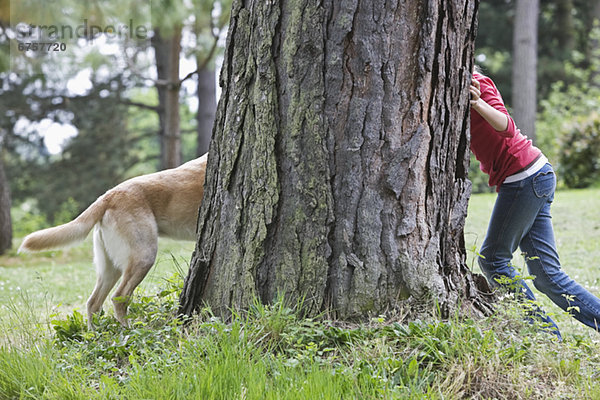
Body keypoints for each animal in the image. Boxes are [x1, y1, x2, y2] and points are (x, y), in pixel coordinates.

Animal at [18, 153, 207, 328]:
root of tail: (107, 196)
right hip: (143, 257)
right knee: (118, 298)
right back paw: (128, 332)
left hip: (110, 268)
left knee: (93, 302)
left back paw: (94, 334)